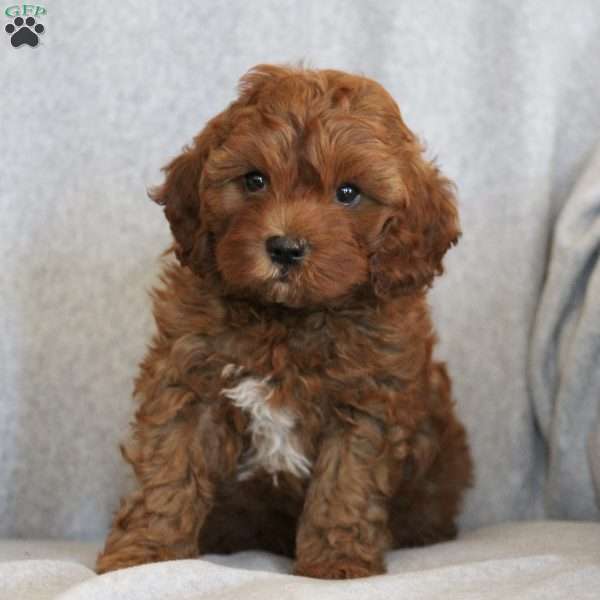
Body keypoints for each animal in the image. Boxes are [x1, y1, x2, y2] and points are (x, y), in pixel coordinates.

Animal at [97, 64, 474, 576]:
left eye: (348, 193)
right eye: (254, 180)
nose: (285, 248)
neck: (286, 320)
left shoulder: (368, 401)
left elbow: (345, 487)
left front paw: (335, 562)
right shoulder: (188, 379)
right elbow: (169, 469)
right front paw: (145, 553)